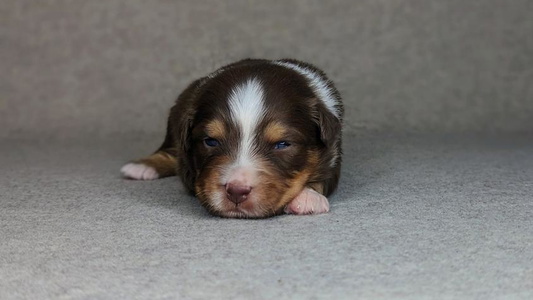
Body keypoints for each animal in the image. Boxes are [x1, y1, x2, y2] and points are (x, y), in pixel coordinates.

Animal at [121, 58, 340, 218]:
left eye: (282, 144)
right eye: (211, 141)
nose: (236, 191)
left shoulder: (334, 153)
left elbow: (323, 177)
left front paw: (308, 197)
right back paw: (141, 167)